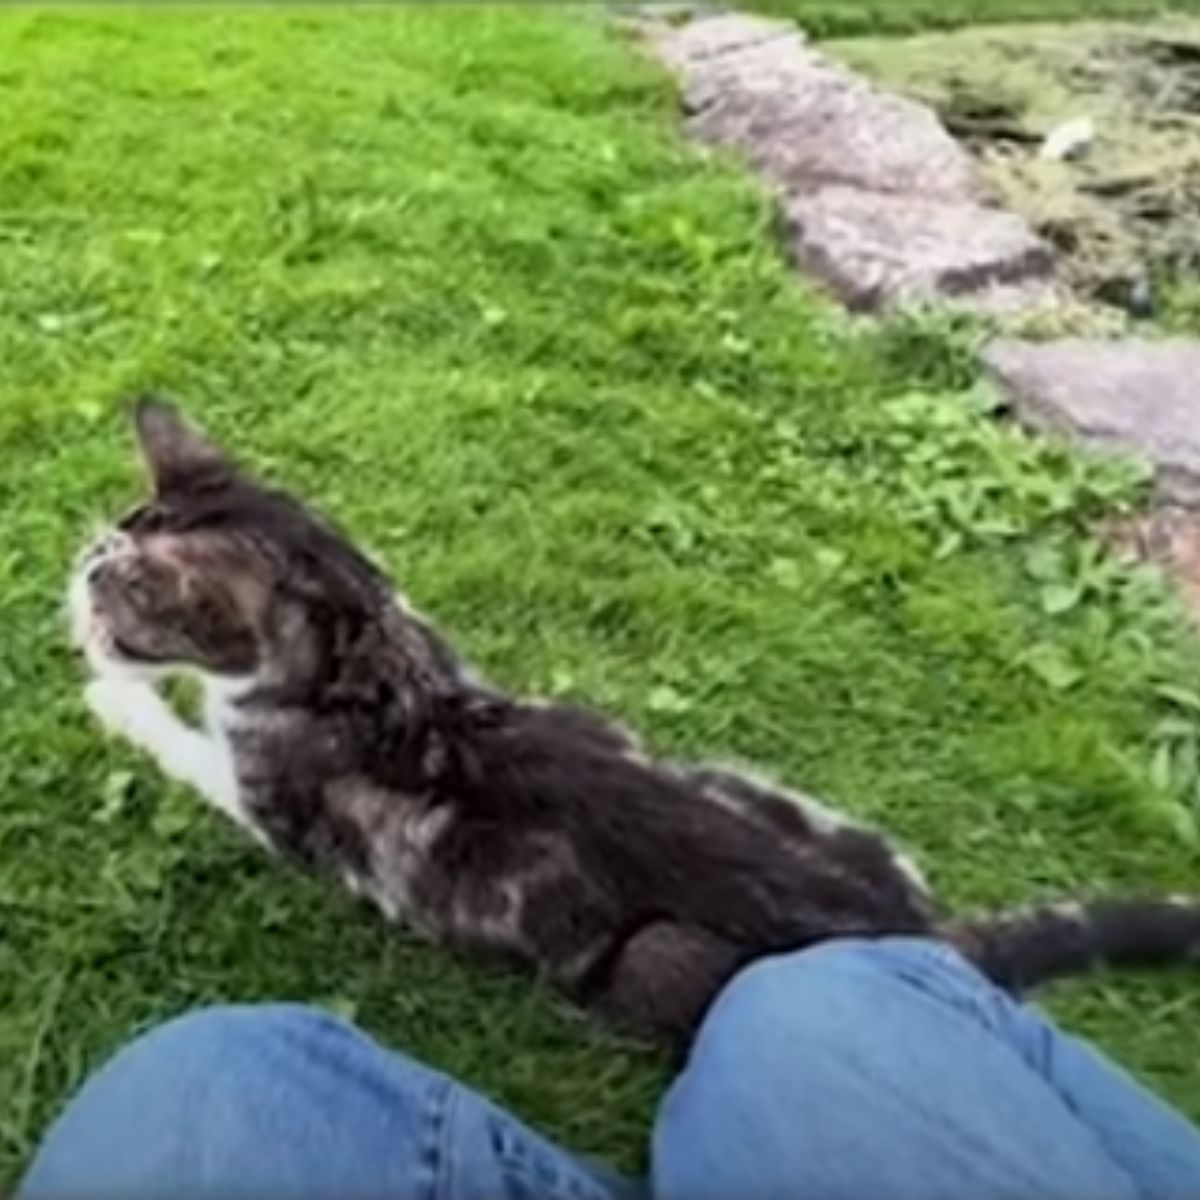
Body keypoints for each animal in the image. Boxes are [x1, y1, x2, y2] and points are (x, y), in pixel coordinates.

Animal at [72, 398, 1200, 1046]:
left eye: (127, 602)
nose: (76, 577)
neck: (366, 655)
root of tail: (928, 935)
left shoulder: (276, 807)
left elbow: (186, 747)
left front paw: (112, 697)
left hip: (660, 956)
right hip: (761, 785)